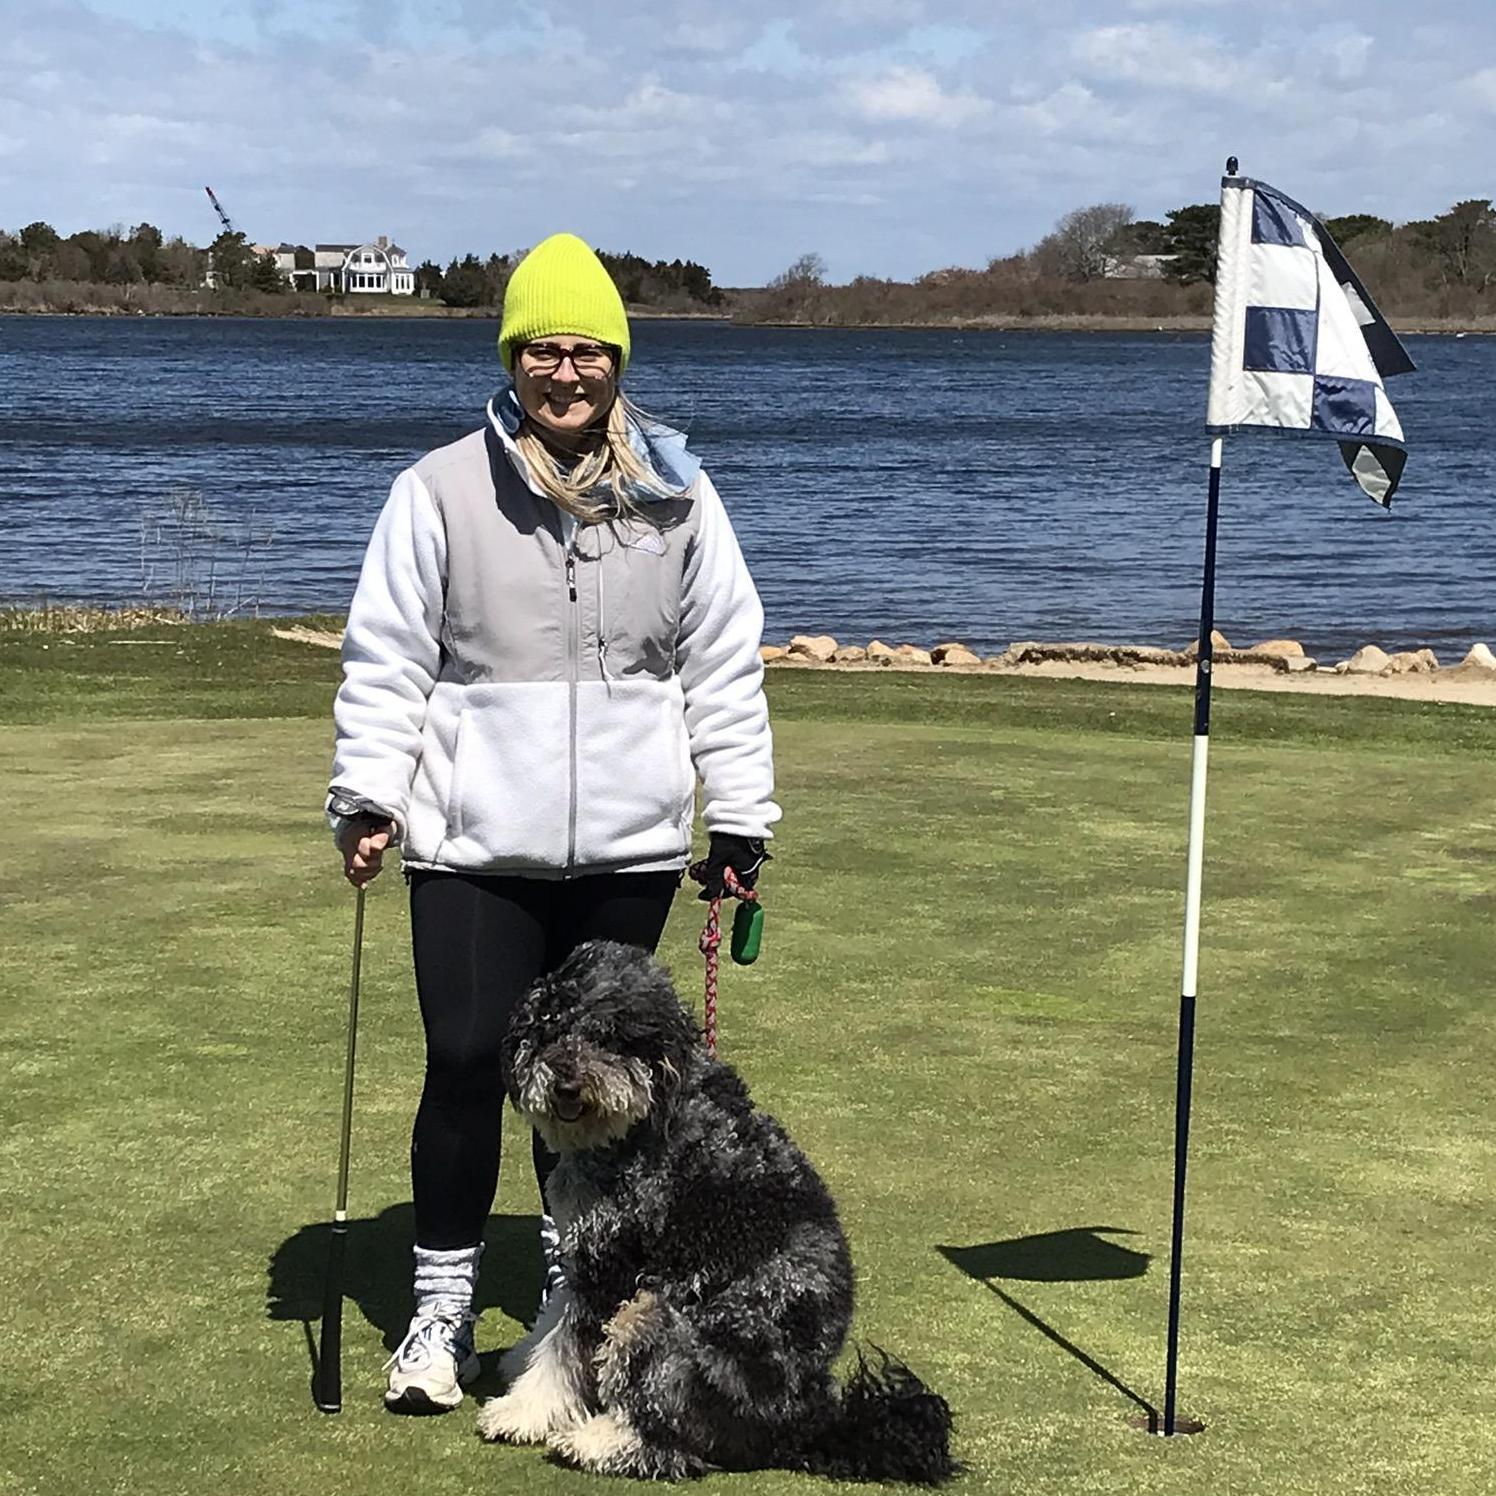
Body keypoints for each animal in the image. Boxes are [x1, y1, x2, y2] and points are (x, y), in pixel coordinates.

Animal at [472, 939, 951, 1478]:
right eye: (554, 1025)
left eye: (611, 1036)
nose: (567, 1084)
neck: (644, 1118)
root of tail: (808, 1423)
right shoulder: (585, 1252)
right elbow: (553, 1323)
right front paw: (521, 1360)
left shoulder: (612, 1265)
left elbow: (565, 1352)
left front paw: (519, 1412)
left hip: (654, 1317)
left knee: (674, 1443)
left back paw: (599, 1442)